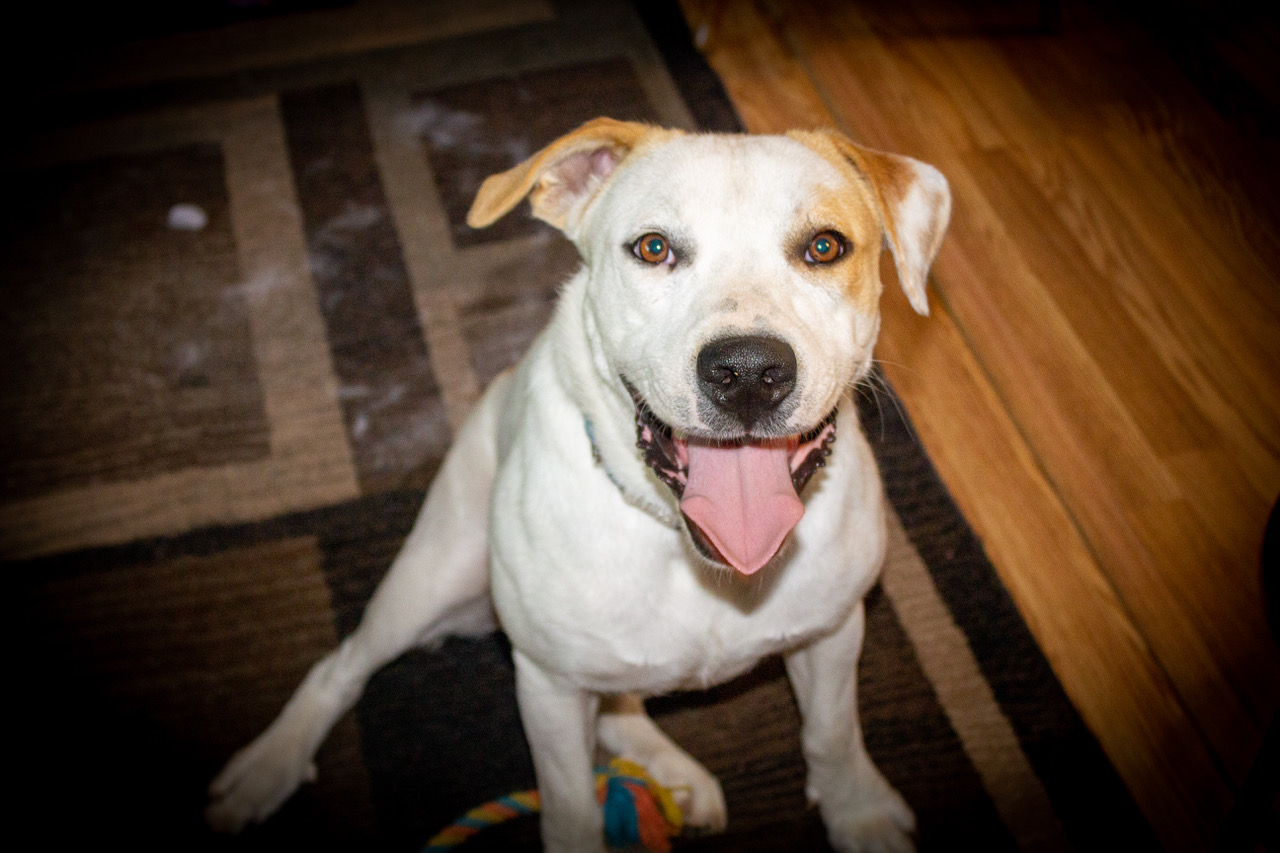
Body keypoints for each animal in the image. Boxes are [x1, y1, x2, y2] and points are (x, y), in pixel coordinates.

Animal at [207, 117, 952, 850]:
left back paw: (670, 771)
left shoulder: (833, 629)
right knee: (340, 667)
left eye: (825, 246)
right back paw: (266, 769)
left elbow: (832, 733)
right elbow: (568, 805)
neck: (697, 554)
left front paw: (858, 814)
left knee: (618, 700)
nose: (746, 372)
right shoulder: (548, 685)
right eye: (653, 248)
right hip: (436, 579)